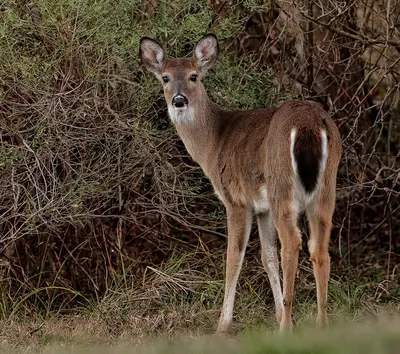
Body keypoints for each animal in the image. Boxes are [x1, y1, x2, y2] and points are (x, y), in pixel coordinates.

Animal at [139, 34, 342, 334]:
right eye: (165, 77)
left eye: (194, 76)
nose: (179, 100)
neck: (214, 142)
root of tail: (310, 125)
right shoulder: (262, 207)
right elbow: (267, 257)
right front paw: (277, 313)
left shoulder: (236, 199)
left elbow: (233, 257)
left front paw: (223, 325)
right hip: (327, 186)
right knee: (319, 247)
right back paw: (321, 323)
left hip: (282, 184)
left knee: (292, 242)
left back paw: (287, 329)